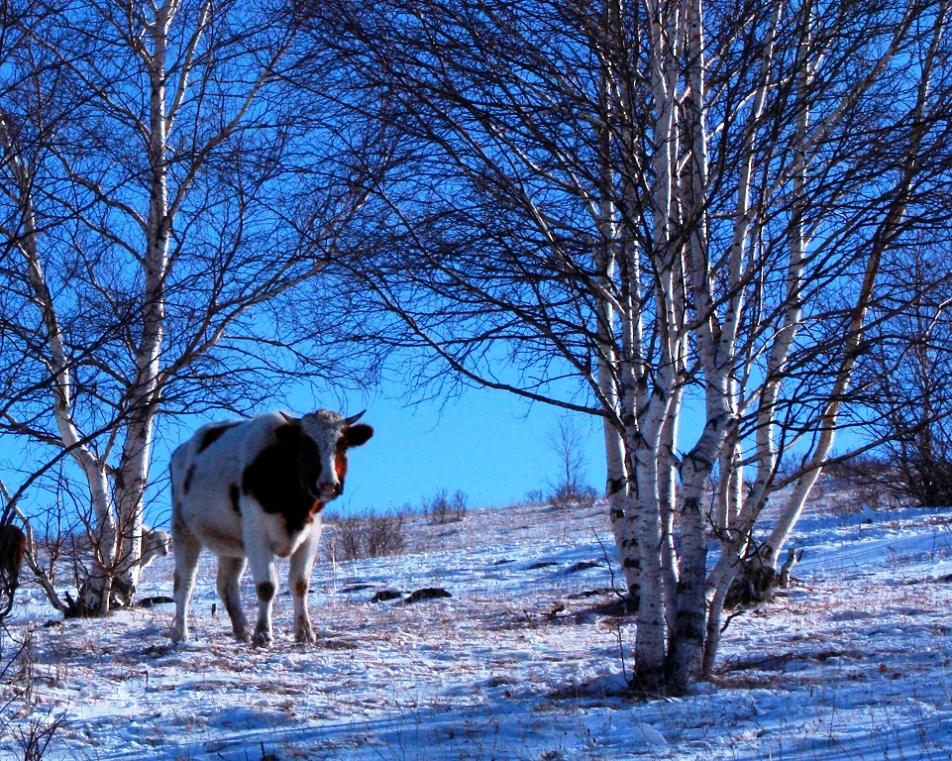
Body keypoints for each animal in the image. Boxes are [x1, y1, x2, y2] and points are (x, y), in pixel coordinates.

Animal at [169, 406, 370, 644]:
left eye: (343, 446)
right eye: (306, 446)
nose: (329, 485)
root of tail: (181, 451)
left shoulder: (311, 535)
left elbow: (300, 584)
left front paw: (305, 632)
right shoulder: (257, 535)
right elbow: (267, 586)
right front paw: (263, 633)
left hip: (230, 542)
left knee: (227, 583)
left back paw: (242, 630)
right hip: (184, 530)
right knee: (184, 583)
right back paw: (181, 634)